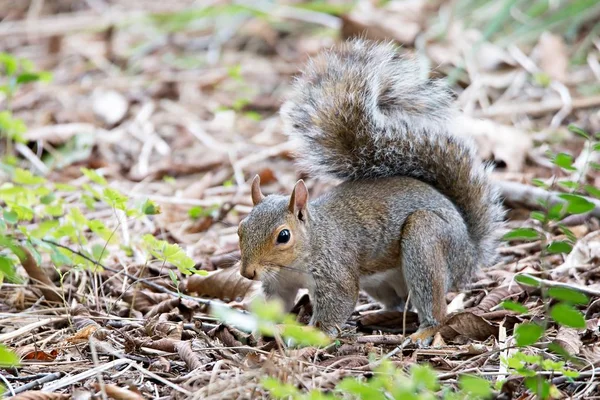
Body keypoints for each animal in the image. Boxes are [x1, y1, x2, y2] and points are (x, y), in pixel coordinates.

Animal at [237, 39, 504, 340]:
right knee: (399, 302)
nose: (248, 273)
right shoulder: (279, 282)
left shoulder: (335, 271)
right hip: (379, 283)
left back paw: (423, 331)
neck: (309, 245)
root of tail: (470, 253)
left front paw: (314, 334)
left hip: (426, 242)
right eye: (240, 229)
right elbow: (275, 305)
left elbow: (338, 302)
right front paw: (259, 330)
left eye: (283, 236)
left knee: (433, 303)